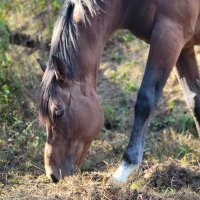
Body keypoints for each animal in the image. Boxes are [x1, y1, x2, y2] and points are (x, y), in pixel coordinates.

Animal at [37, 0, 200, 184]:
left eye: (58, 112)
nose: (53, 175)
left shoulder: (170, 35)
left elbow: (145, 100)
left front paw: (124, 169)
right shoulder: (184, 46)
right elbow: (195, 101)